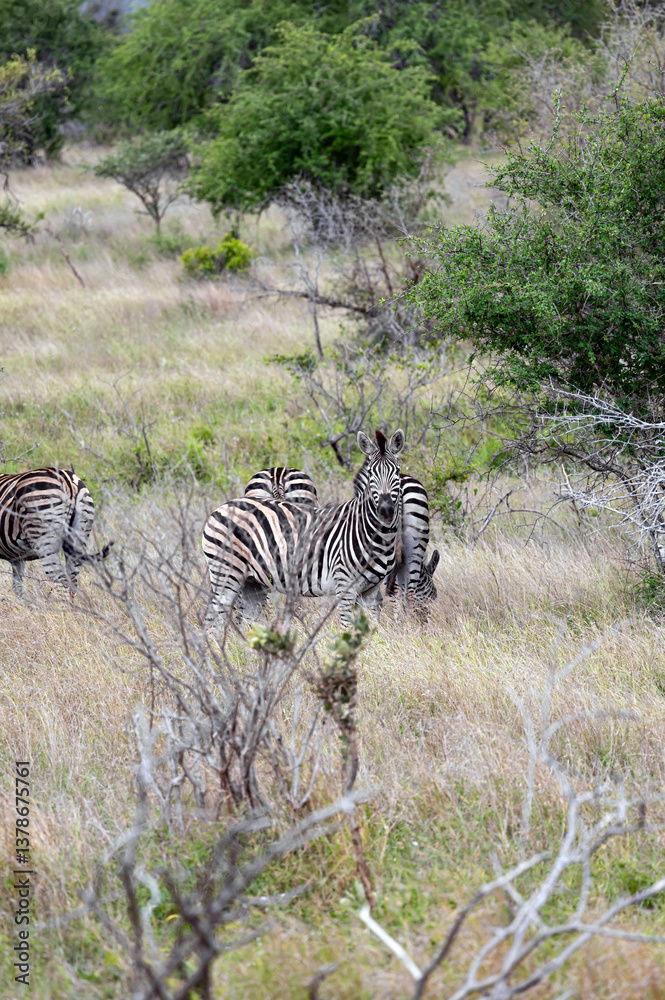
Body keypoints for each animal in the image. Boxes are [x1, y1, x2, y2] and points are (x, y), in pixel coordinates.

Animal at [0, 467, 112, 597]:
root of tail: (68, 481)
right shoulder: (17, 558)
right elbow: (18, 590)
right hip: (79, 536)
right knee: (72, 581)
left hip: (44, 538)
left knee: (61, 582)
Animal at [202, 429, 405, 626]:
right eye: (371, 474)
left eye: (397, 471)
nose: (386, 510)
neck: (379, 536)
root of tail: (223, 506)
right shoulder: (345, 588)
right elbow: (348, 628)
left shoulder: (369, 591)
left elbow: (370, 628)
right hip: (226, 572)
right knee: (215, 618)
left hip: (252, 581)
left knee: (246, 620)